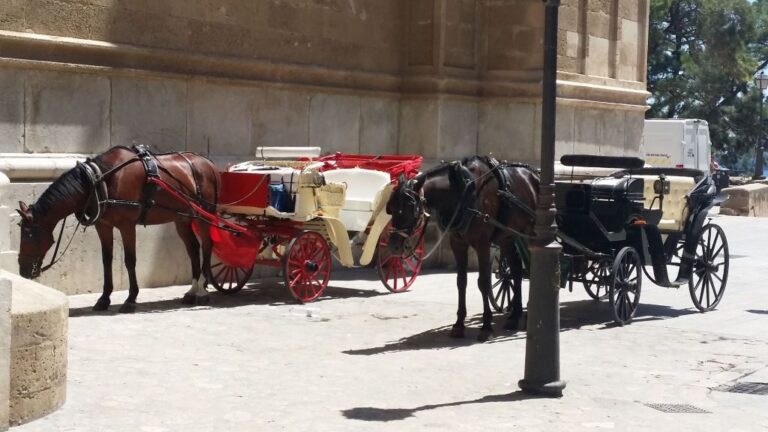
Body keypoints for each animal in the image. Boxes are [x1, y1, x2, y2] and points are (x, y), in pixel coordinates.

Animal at [16, 145, 221, 313]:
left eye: (28, 235)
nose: (23, 271)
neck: (99, 181)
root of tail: (209, 163)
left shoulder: (127, 225)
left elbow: (130, 260)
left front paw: (131, 299)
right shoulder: (103, 226)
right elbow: (106, 260)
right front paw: (104, 298)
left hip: (203, 217)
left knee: (207, 246)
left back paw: (203, 290)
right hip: (183, 219)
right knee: (193, 249)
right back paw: (193, 291)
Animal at [386, 156, 539, 342]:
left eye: (410, 206)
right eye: (391, 207)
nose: (393, 246)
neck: (463, 190)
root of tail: (535, 175)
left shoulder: (482, 244)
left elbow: (484, 282)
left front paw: (486, 326)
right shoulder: (457, 243)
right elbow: (461, 282)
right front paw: (459, 324)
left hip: (530, 234)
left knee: (531, 269)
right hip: (508, 236)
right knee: (516, 271)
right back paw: (514, 316)